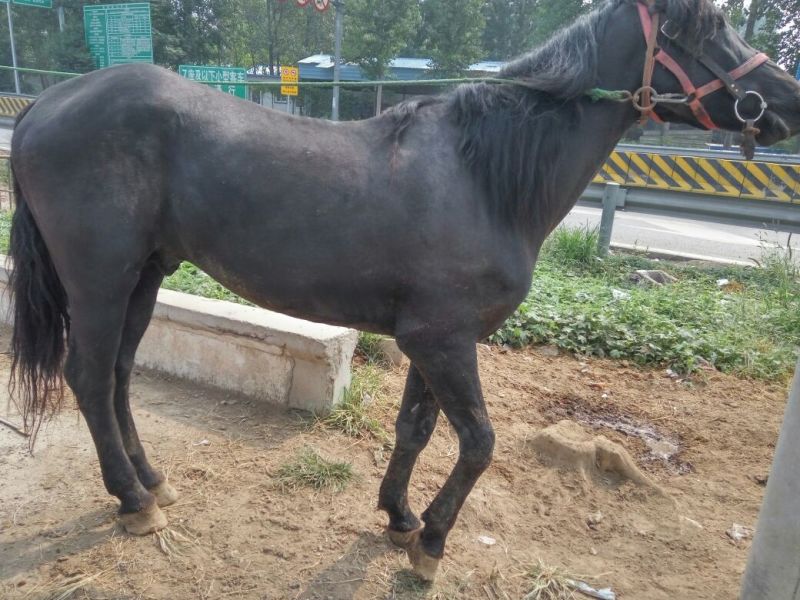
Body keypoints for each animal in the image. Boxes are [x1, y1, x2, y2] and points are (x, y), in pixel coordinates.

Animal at [8, 0, 800, 581]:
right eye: (705, 27)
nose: (786, 101)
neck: (484, 177)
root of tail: (45, 104)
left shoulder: (434, 340)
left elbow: (415, 429)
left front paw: (398, 518)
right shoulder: (444, 341)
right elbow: (478, 443)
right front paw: (433, 544)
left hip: (144, 275)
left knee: (117, 376)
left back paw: (152, 480)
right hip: (101, 278)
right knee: (88, 376)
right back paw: (133, 500)